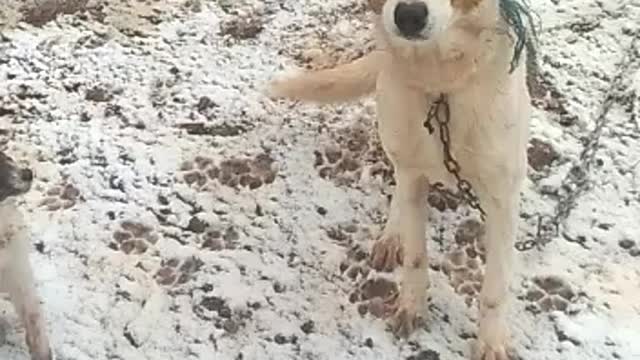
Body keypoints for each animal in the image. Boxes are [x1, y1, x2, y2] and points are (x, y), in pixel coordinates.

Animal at [268, 0, 536, 358]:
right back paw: (392, 235)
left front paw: (491, 342)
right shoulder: (413, 176)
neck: (439, 80)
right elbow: (415, 256)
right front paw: (412, 306)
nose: (409, 15)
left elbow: (495, 285)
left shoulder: (502, 196)